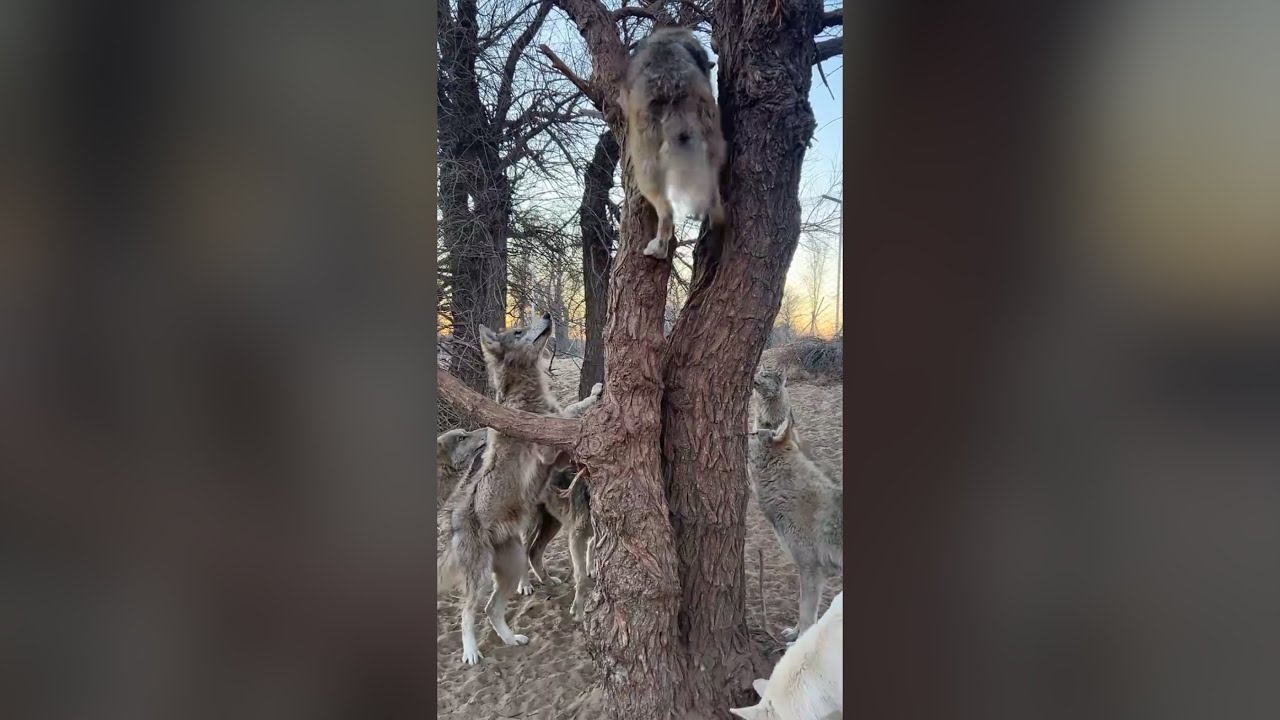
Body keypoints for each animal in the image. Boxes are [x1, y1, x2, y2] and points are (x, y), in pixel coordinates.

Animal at [437, 313, 602, 664]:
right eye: (518, 331)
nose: (548, 315)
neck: (526, 398)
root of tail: (456, 520)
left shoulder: (559, 446)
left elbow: (573, 409)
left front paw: (596, 394)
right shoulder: (549, 445)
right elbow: (570, 416)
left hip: (511, 567)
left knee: (492, 608)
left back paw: (512, 639)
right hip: (481, 576)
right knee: (467, 613)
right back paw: (471, 652)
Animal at [620, 26, 726, 260]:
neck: (668, 39)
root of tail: (674, 91)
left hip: (646, 169)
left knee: (666, 212)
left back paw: (657, 249)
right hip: (713, 154)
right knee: (718, 211)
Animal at [747, 411, 842, 642]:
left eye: (753, 433)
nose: (741, 432)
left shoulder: (812, 570)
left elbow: (806, 614)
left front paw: (800, 641)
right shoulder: (809, 572)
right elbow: (802, 610)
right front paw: (794, 633)